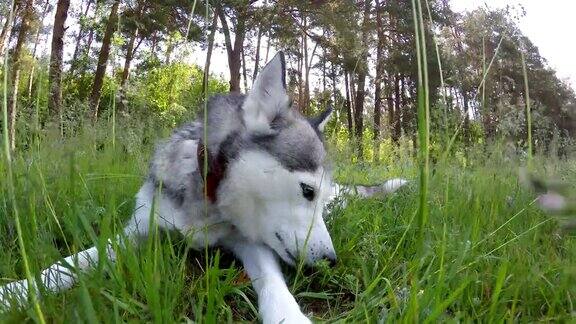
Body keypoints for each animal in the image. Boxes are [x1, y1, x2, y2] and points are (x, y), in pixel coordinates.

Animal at [0, 52, 404, 322]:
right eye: (307, 191)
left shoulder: (251, 243)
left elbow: (272, 281)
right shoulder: (139, 230)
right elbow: (68, 264)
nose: (331, 261)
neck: (208, 202)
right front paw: (15, 292)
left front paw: (287, 314)